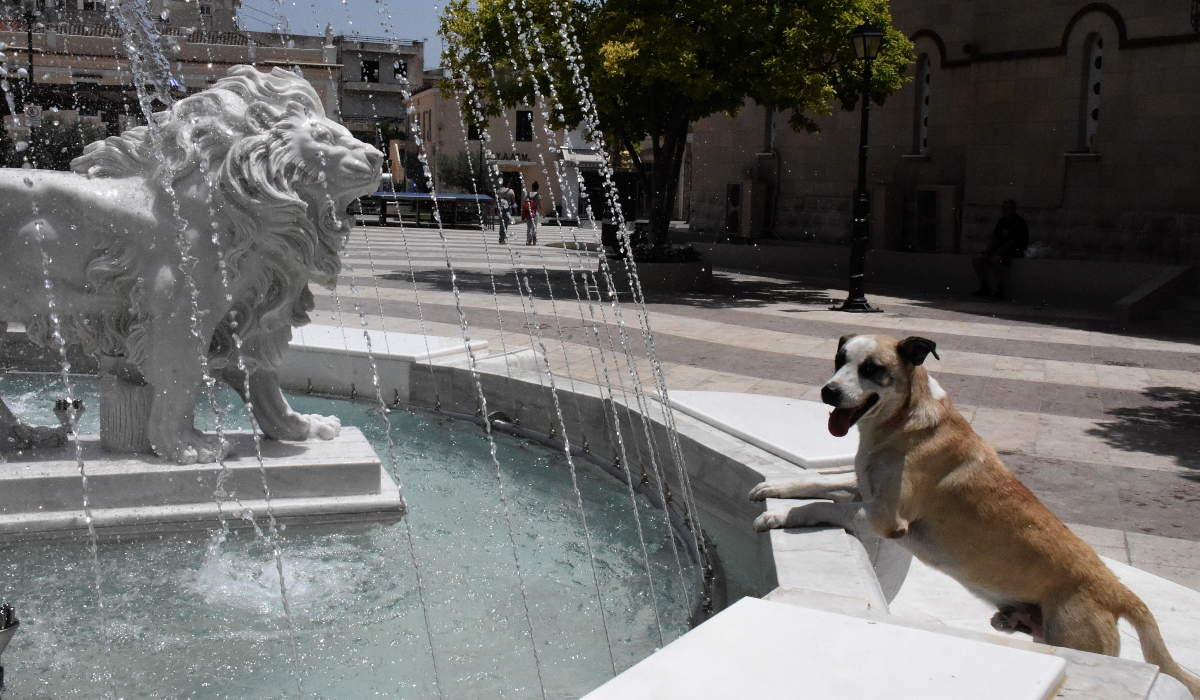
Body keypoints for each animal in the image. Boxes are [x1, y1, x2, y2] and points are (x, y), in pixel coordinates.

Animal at [748, 333, 1200, 696]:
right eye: (838, 360)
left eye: (871, 369)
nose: (828, 392)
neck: (901, 422)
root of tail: (1118, 590)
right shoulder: (863, 489)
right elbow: (815, 486)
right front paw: (774, 489)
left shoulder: (884, 515)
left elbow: (821, 506)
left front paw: (779, 517)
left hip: (1076, 637)